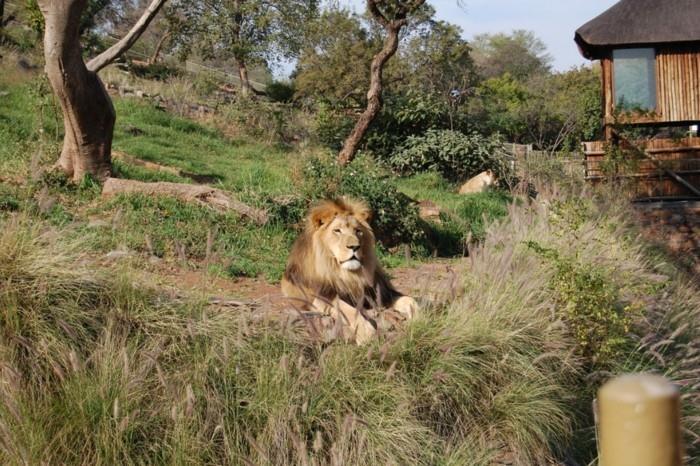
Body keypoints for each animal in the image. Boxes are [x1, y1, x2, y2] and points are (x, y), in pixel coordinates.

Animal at [282, 197, 418, 346]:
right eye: (337, 231)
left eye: (358, 231)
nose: (354, 246)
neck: (349, 274)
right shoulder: (323, 298)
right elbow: (349, 310)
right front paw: (367, 334)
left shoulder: (380, 293)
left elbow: (411, 300)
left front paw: (421, 319)